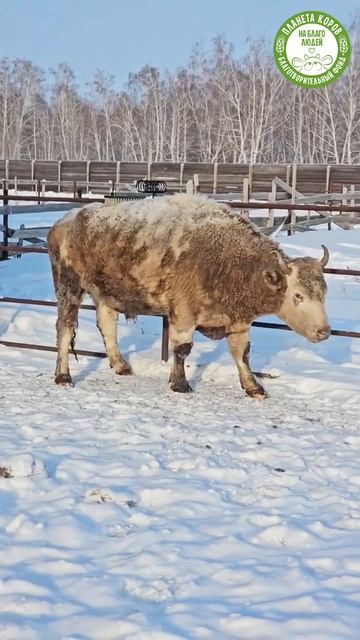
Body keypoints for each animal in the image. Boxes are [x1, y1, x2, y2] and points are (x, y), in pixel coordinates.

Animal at [46, 192, 330, 398]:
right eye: (298, 295)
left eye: (323, 292)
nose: (324, 331)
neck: (228, 259)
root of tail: (65, 221)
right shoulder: (183, 314)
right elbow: (182, 349)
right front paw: (180, 384)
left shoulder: (238, 322)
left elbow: (242, 353)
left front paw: (254, 387)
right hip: (68, 287)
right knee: (65, 328)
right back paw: (63, 376)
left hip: (105, 294)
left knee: (107, 325)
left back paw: (121, 365)